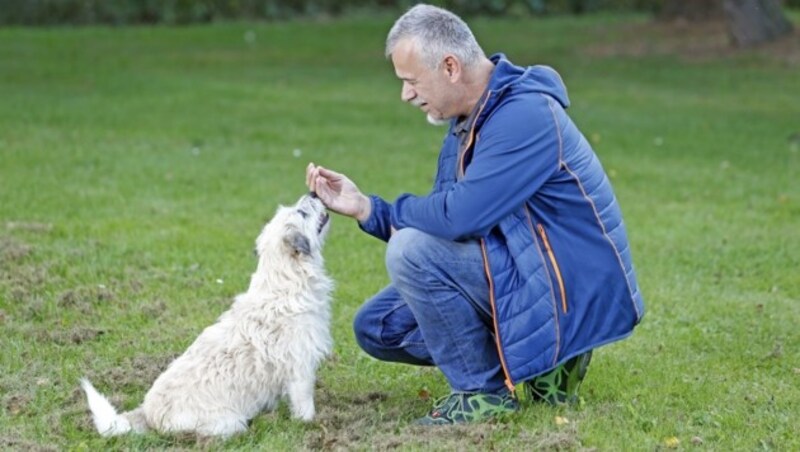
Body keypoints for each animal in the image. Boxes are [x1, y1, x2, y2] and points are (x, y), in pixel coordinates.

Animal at [80, 194, 332, 438]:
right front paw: (310, 424)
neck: (285, 280)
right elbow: (304, 405)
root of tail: (147, 415)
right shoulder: (300, 369)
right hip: (230, 423)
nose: (313, 193)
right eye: (302, 212)